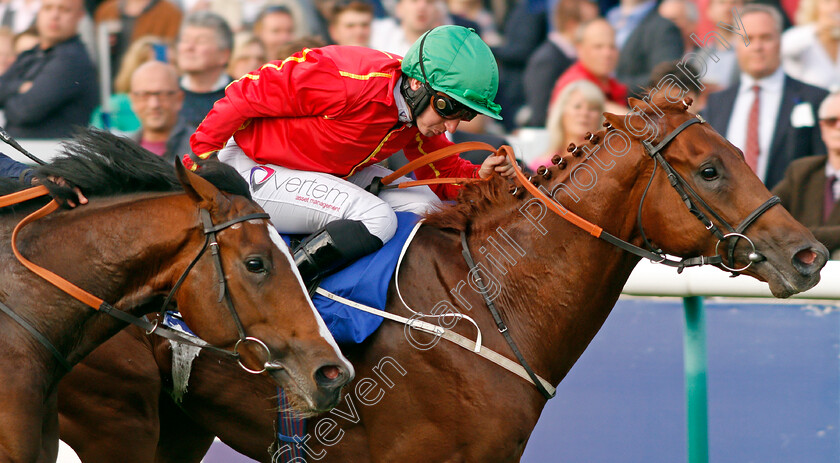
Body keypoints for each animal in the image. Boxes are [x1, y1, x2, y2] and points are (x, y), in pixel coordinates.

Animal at [57, 96, 828, 462]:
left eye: (743, 154)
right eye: (711, 169)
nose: (810, 255)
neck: (489, 305)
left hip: (177, 427)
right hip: (117, 419)